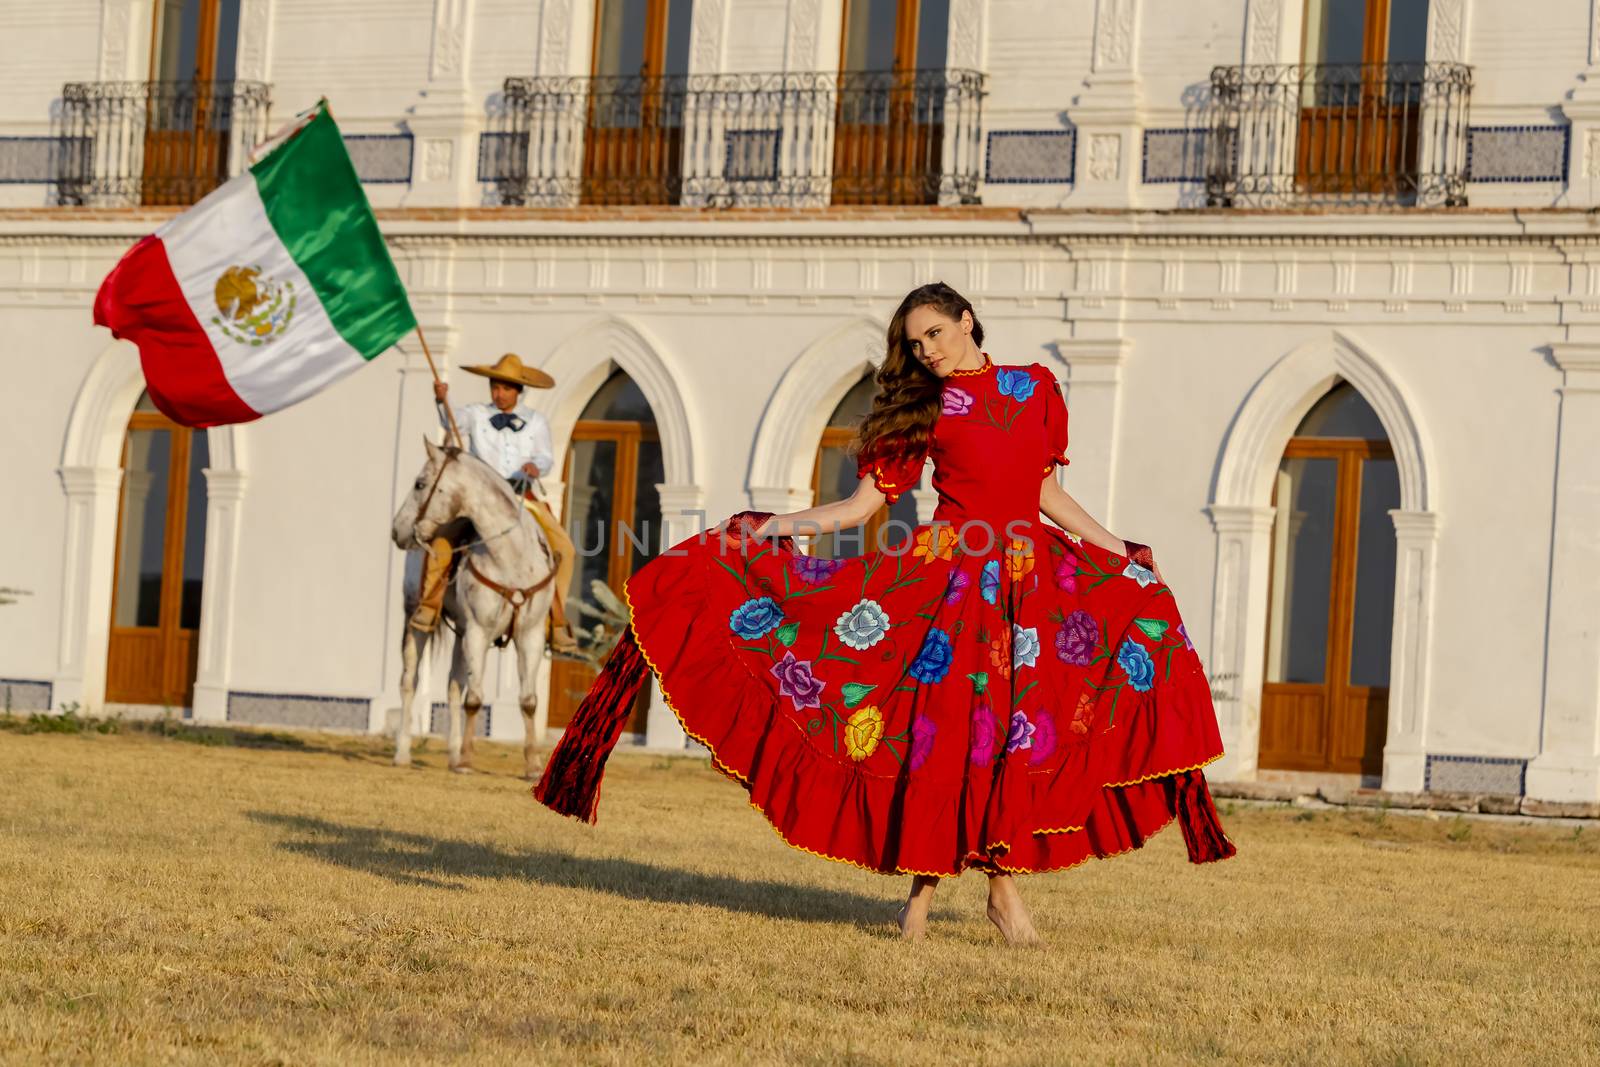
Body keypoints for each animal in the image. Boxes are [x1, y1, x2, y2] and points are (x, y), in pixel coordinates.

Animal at [388, 438, 560, 780]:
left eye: (420, 484)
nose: (397, 530)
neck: (511, 557)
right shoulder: (479, 633)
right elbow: (475, 699)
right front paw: (468, 759)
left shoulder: (529, 635)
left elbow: (528, 701)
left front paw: (533, 765)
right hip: (415, 619)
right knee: (409, 681)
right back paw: (403, 752)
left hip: (461, 633)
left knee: (453, 687)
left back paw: (453, 754)